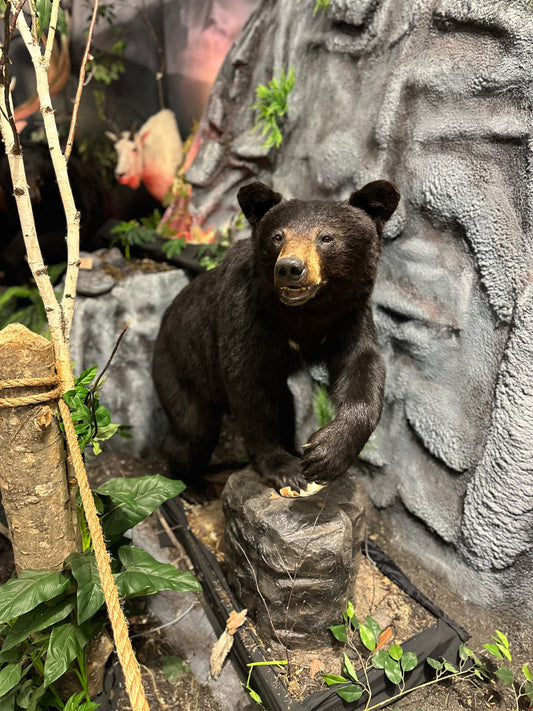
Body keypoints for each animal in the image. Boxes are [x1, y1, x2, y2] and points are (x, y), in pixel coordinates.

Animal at [152, 180, 400, 493]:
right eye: (278, 236)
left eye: (326, 238)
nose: (290, 268)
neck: (306, 313)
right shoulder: (245, 312)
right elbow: (247, 385)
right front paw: (285, 469)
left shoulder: (349, 317)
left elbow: (361, 366)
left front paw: (324, 454)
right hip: (179, 367)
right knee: (192, 429)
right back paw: (190, 486)